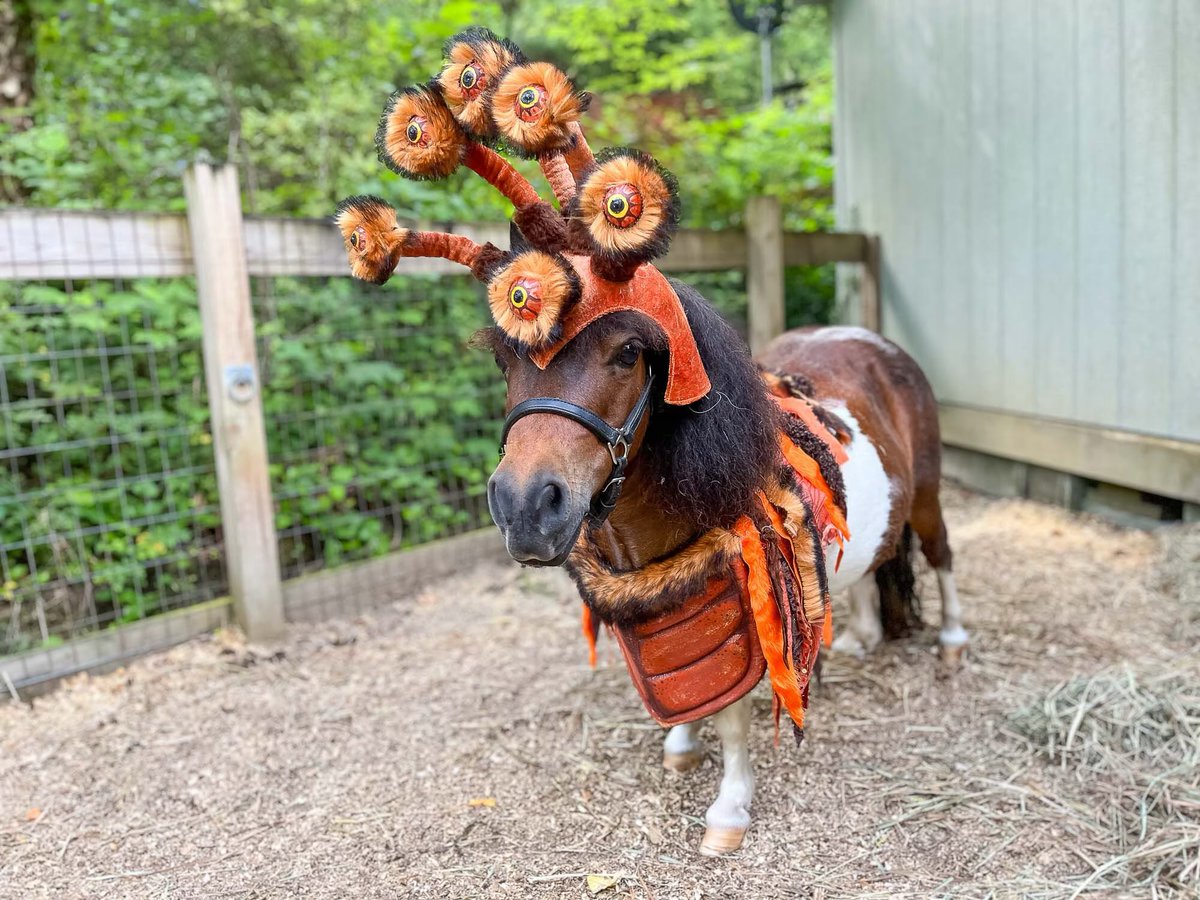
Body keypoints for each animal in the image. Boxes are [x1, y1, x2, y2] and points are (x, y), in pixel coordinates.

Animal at [484, 290, 968, 856]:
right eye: (504, 360)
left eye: (628, 353)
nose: (524, 507)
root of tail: (872, 339)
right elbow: (687, 688)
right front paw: (682, 743)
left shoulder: (743, 623)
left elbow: (731, 716)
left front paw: (730, 808)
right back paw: (860, 638)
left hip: (928, 495)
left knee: (941, 556)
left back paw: (953, 642)